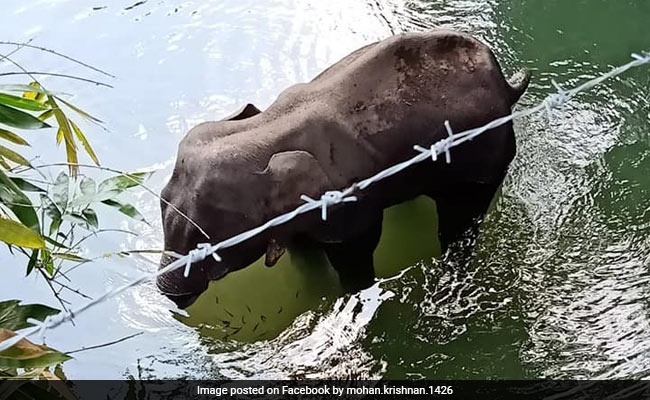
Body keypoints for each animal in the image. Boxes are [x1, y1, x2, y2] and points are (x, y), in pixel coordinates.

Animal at [158, 29, 531, 308]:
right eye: (162, 200)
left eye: (207, 241)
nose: (170, 295)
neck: (267, 129)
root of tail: (507, 85)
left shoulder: (347, 203)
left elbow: (357, 249)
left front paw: (350, 295)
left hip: (485, 154)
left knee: (460, 218)